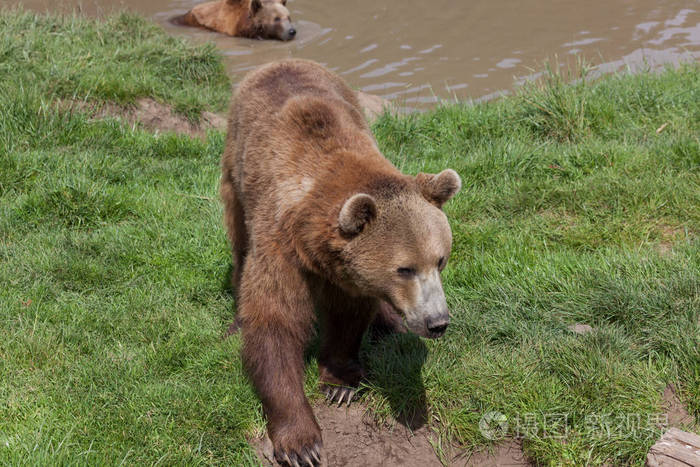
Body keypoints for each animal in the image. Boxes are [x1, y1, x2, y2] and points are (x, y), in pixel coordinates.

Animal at [220, 59, 461, 466]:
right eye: (405, 268)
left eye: (440, 260)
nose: (437, 322)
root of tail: (279, 61)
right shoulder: (281, 246)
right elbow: (275, 321)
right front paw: (300, 443)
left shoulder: (349, 275)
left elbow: (348, 315)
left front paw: (340, 382)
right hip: (235, 164)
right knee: (238, 239)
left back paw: (389, 321)